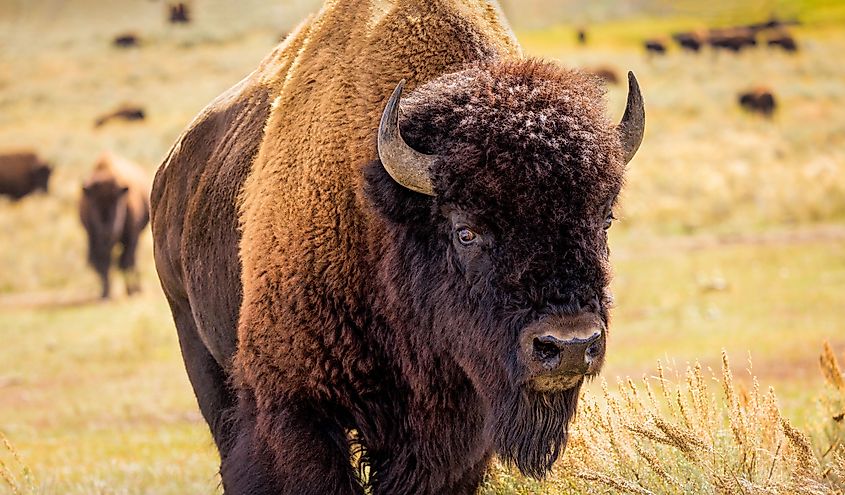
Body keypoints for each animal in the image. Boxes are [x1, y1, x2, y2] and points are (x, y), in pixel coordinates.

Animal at [80, 152, 150, 299]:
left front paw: (131, 291)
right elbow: (104, 264)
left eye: (117, 203)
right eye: (93, 205)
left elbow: (125, 262)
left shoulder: (131, 236)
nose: (107, 231)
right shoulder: (95, 239)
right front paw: (105, 294)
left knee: (130, 261)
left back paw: (136, 289)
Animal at [151, 1, 644, 493]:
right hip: (196, 345)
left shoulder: (453, 435)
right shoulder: (295, 404)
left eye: (604, 219)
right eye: (466, 231)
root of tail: (171, 169)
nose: (571, 344)